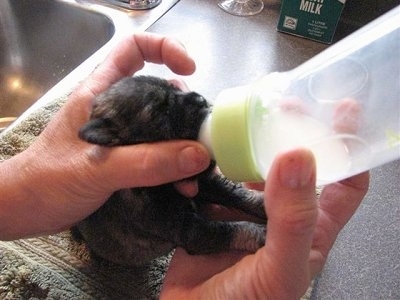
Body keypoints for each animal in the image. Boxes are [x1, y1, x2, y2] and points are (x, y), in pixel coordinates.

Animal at [73, 75, 268, 264]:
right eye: (161, 112)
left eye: (174, 87)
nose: (201, 99)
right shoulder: (190, 230)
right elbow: (229, 229)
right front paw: (263, 234)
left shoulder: (202, 183)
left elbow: (236, 193)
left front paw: (263, 203)